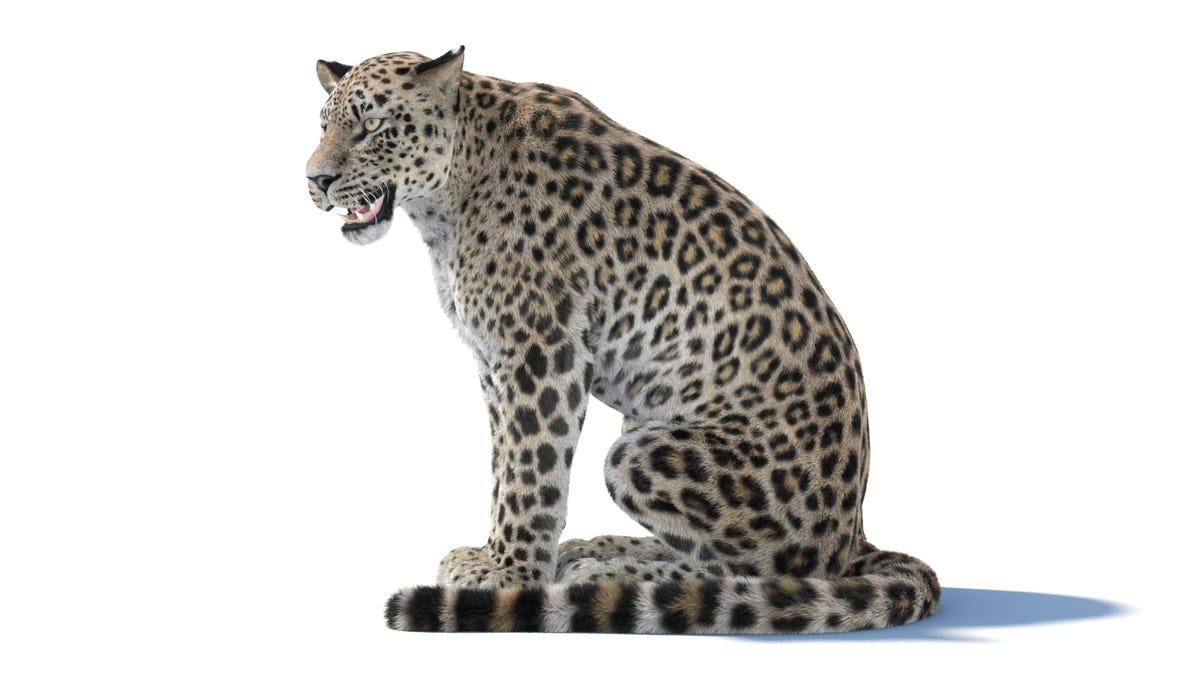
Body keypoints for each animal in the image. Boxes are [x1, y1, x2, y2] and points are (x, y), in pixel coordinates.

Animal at [306, 47, 939, 634]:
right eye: (322, 125)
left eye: (372, 125)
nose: (316, 180)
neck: (444, 204)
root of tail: (855, 534)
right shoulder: (492, 360)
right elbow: (502, 464)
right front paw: (497, 556)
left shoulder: (540, 350)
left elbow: (530, 471)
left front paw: (510, 575)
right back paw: (599, 549)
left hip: (643, 454)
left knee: (764, 576)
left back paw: (607, 573)